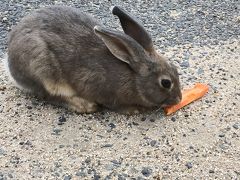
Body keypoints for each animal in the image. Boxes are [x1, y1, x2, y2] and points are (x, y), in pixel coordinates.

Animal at [6, 5, 181, 114]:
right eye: (166, 83)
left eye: (175, 69)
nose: (178, 99)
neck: (134, 76)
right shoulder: (102, 90)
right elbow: (114, 105)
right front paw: (133, 110)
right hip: (42, 70)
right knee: (48, 95)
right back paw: (84, 105)